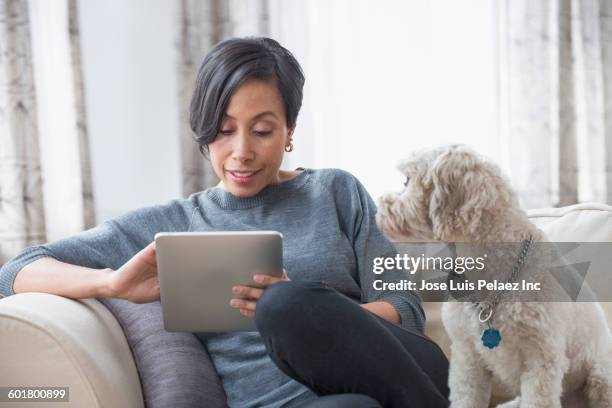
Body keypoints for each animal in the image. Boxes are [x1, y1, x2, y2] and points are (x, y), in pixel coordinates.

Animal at [376, 147, 608, 408]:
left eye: (407, 181)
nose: (379, 206)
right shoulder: (467, 357)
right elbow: (465, 399)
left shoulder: (542, 359)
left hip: (601, 376)